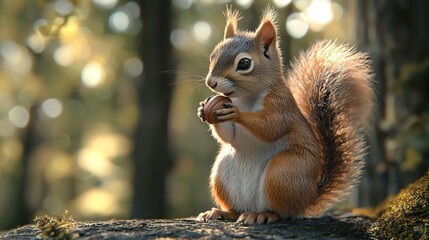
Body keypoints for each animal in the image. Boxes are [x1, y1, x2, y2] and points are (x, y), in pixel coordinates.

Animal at [196, 7, 372, 225]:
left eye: (244, 63)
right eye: (213, 55)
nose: (211, 82)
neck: (246, 97)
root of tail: (307, 200)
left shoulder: (281, 104)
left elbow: (270, 127)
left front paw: (237, 114)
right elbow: (230, 136)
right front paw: (203, 110)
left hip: (284, 173)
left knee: (282, 211)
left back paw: (262, 214)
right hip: (222, 174)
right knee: (238, 209)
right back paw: (223, 212)